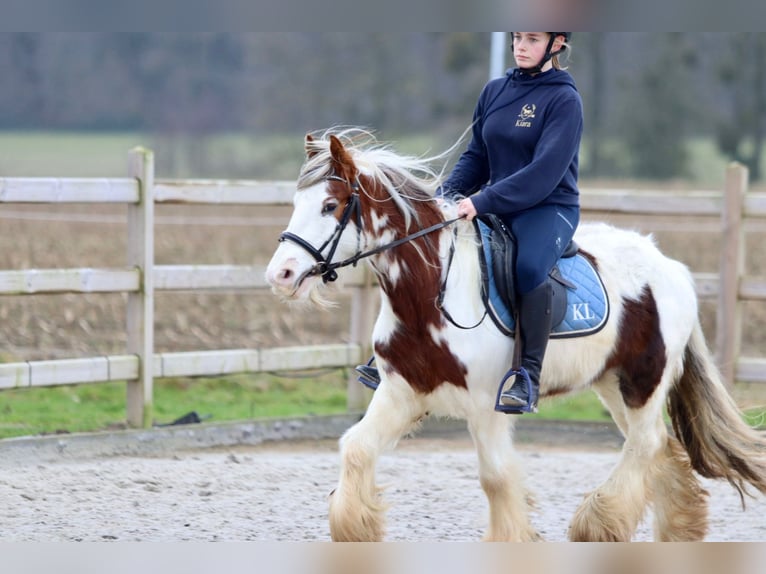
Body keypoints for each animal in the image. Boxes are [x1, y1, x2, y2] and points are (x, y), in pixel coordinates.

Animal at [266, 127, 766, 544]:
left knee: (644, 444)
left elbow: (496, 476)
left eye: (330, 206)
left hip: (644, 380)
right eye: (296, 204)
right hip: (612, 383)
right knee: (658, 446)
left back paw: (597, 525)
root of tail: (671, 267)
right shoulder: (401, 391)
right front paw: (355, 529)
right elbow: (355, 448)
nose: (280, 275)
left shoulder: (486, 404)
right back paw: (674, 530)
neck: (432, 295)